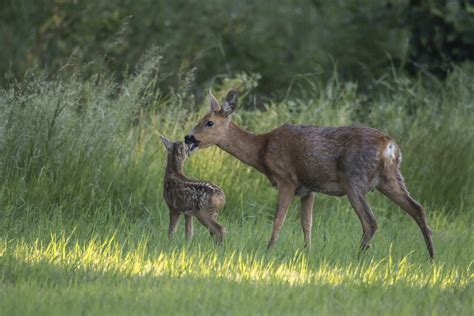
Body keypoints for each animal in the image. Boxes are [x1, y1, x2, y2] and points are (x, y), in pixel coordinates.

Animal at [183, 90, 436, 258]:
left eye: (208, 122)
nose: (188, 137)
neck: (261, 149)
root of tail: (390, 146)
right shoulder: (309, 188)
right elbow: (307, 223)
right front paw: (307, 251)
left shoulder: (287, 178)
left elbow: (279, 219)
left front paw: (268, 250)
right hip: (391, 178)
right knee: (418, 209)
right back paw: (432, 255)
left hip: (354, 179)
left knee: (370, 221)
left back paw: (359, 256)